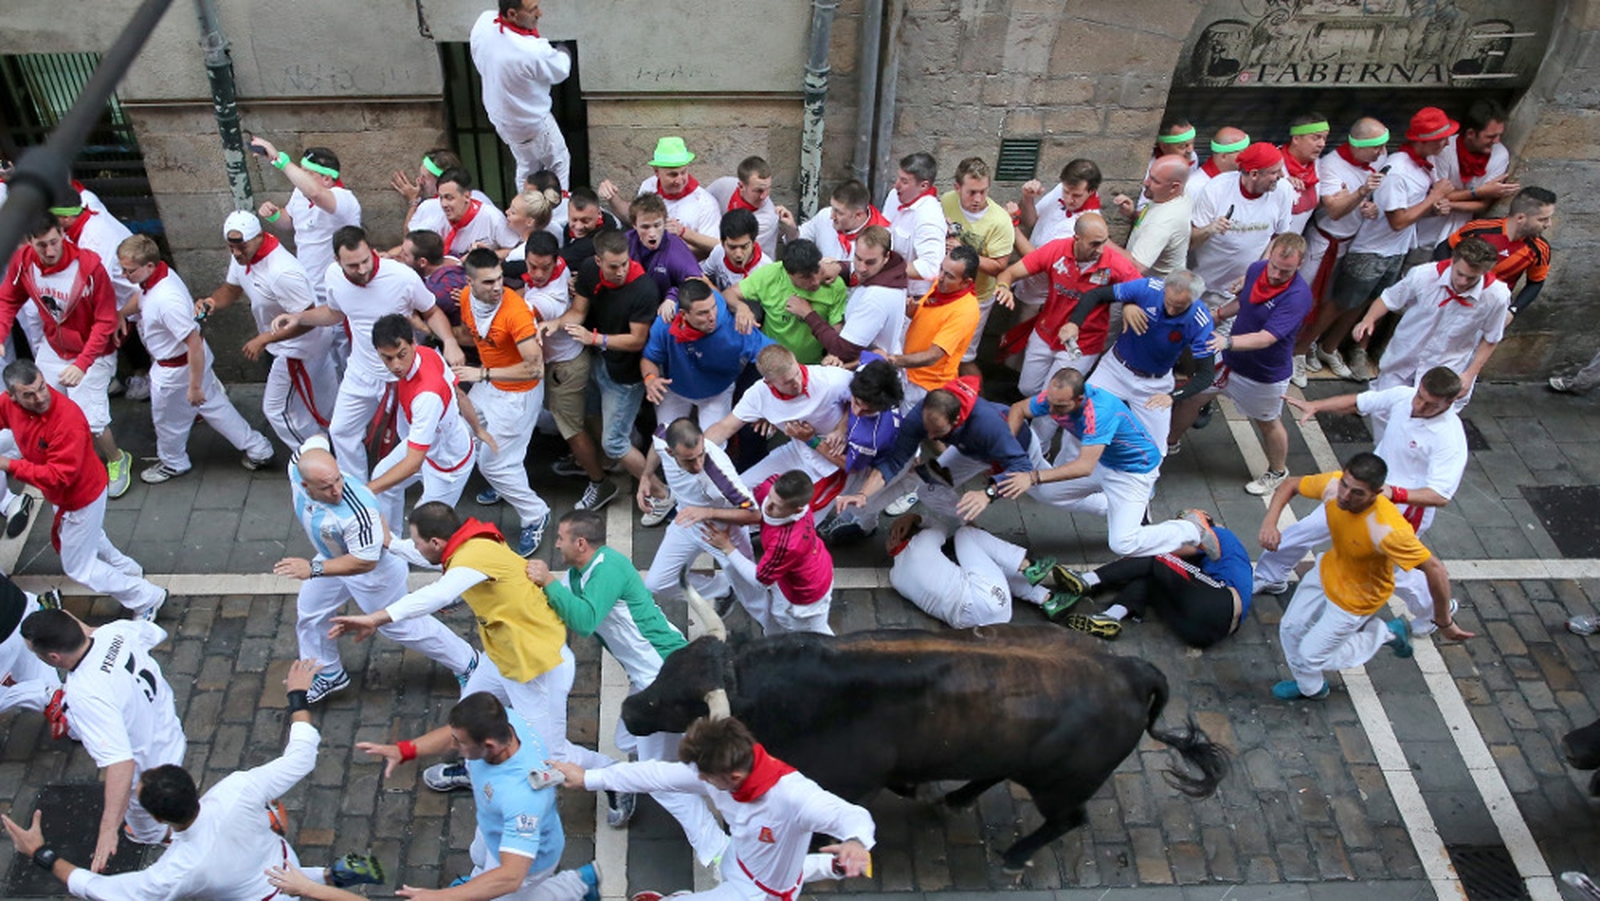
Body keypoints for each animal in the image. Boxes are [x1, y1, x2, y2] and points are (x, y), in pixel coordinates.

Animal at [617, 624, 1228, 870]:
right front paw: (918, 788)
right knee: (992, 773)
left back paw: (1014, 856)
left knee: (1067, 820)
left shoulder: (850, 781)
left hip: (1061, 785)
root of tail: (1131, 669)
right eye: (667, 669)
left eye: (681, 702)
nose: (627, 709)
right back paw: (954, 799)